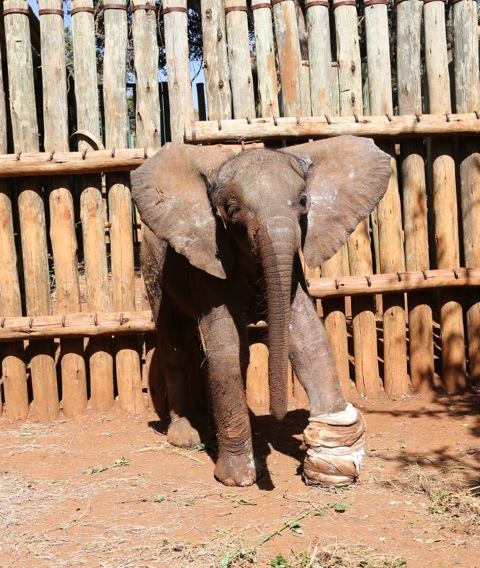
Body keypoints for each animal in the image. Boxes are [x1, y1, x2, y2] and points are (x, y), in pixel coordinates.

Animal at [130, 136, 390, 488]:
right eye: (232, 211)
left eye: (304, 202)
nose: (280, 414)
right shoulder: (211, 255)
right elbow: (224, 346)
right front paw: (237, 479)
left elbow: (307, 336)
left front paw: (333, 460)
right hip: (151, 262)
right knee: (174, 342)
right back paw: (185, 436)